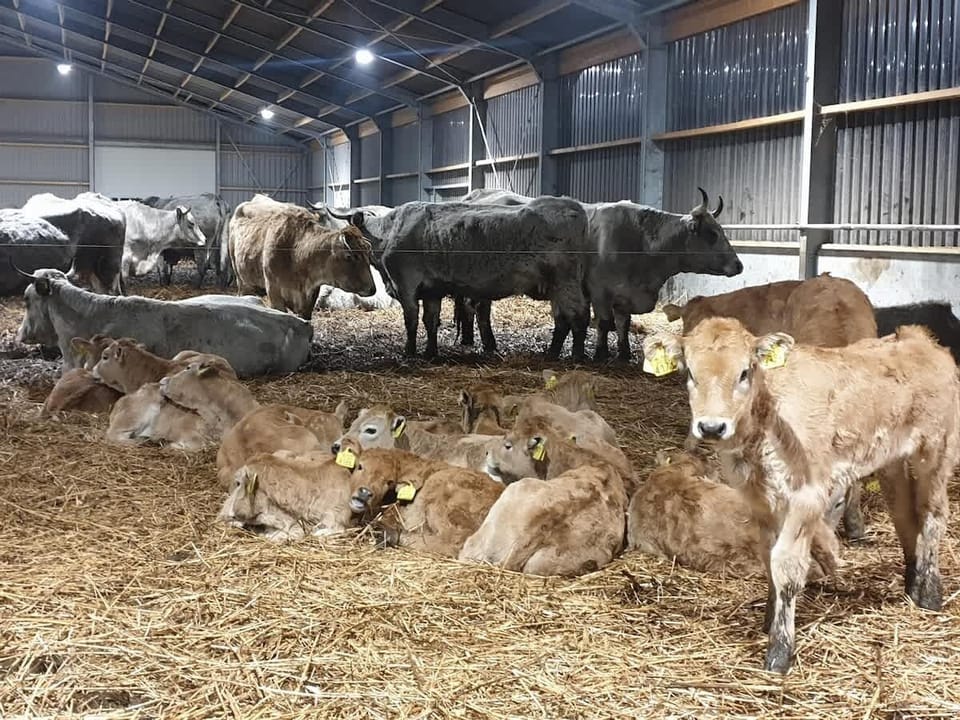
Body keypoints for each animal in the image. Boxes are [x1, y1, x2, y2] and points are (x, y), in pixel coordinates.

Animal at [229, 198, 377, 319]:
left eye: (368, 255)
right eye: (350, 256)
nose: (372, 289)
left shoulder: (310, 298)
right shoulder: (274, 292)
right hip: (241, 278)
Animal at [458, 188, 743, 361]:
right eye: (712, 234)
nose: (738, 265)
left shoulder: (623, 294)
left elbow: (623, 323)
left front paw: (624, 353)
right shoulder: (599, 291)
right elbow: (604, 323)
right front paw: (600, 353)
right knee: (480, 309)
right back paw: (489, 344)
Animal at [642, 318, 960, 673]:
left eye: (744, 372)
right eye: (690, 373)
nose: (712, 427)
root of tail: (920, 338)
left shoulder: (807, 497)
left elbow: (787, 564)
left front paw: (779, 651)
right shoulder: (760, 500)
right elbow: (767, 557)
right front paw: (769, 621)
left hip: (937, 451)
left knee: (933, 516)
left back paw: (930, 595)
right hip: (893, 460)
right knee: (905, 516)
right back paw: (911, 587)